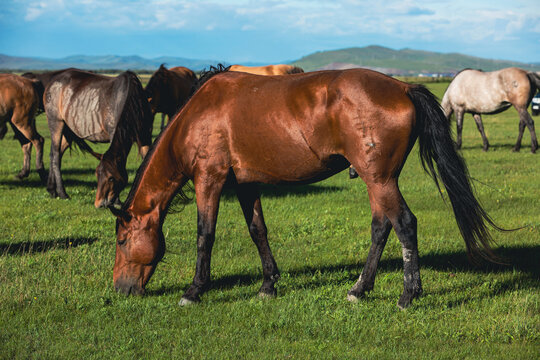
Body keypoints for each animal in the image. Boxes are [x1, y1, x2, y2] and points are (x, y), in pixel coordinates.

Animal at [43, 68, 154, 208]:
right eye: (96, 175)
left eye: (111, 178)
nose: (99, 204)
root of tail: (52, 82)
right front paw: (118, 202)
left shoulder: (145, 138)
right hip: (56, 123)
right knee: (56, 156)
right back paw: (63, 193)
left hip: (68, 131)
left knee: (54, 154)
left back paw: (52, 190)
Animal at [109, 67, 502, 310]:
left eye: (122, 240)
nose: (120, 289)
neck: (197, 114)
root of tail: (404, 88)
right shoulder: (246, 185)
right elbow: (258, 231)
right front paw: (268, 285)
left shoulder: (210, 179)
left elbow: (205, 234)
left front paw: (194, 291)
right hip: (378, 181)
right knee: (381, 227)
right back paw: (359, 289)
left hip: (379, 180)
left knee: (404, 224)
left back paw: (408, 295)